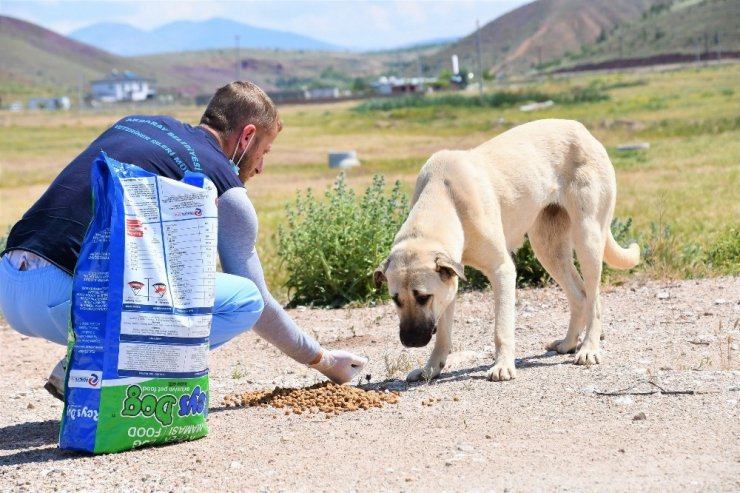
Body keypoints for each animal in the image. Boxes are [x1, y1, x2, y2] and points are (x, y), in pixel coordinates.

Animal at [372, 118, 640, 380]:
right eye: (395, 299)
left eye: (423, 297)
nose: (410, 341)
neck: (445, 198)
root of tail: (582, 129)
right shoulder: (449, 283)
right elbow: (444, 335)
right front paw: (431, 369)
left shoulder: (501, 270)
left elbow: (501, 329)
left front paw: (502, 366)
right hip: (548, 249)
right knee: (580, 295)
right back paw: (568, 343)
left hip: (587, 238)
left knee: (594, 300)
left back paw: (589, 349)